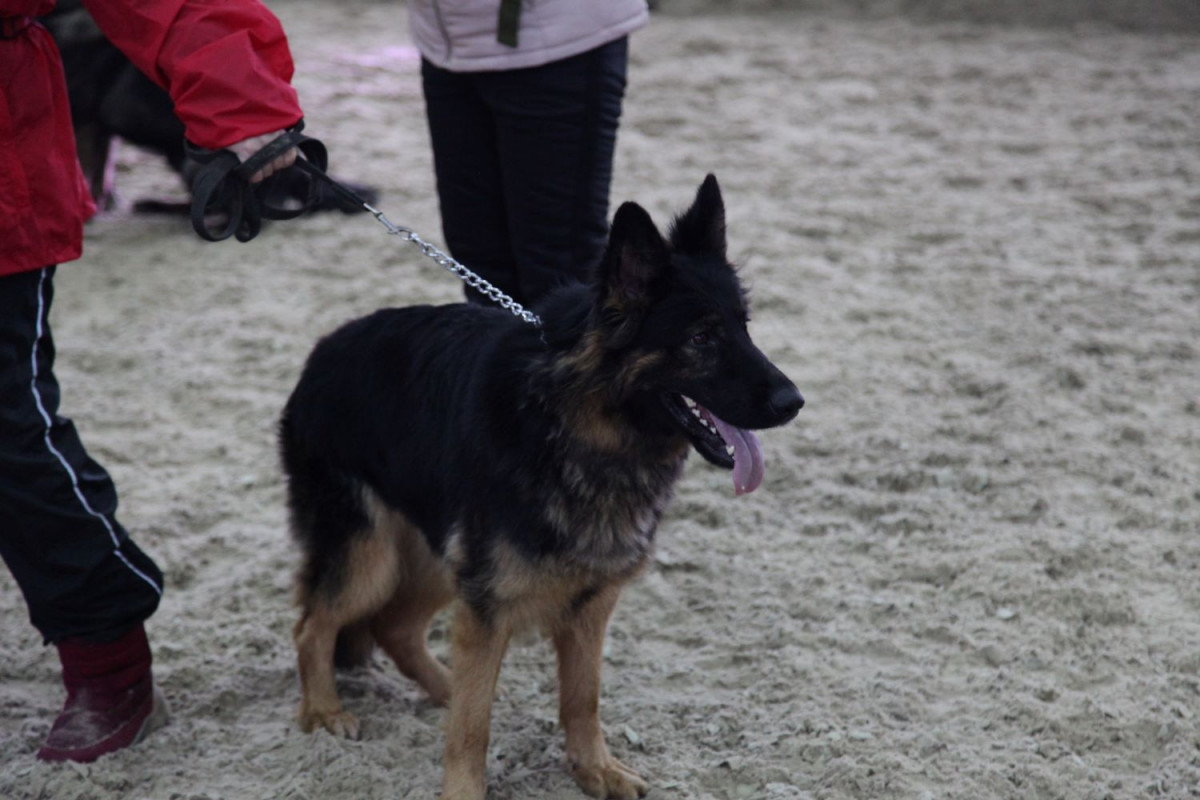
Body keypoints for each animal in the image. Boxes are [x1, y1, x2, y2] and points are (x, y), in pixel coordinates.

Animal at [279, 176, 801, 800]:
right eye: (701, 337)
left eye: (745, 327)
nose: (794, 402)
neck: (578, 424)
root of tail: (319, 355)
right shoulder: (490, 605)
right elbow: (471, 730)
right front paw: (465, 790)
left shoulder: (588, 604)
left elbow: (582, 697)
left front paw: (595, 769)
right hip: (371, 556)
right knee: (313, 626)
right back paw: (323, 711)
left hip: (437, 560)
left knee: (395, 629)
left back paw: (444, 685)